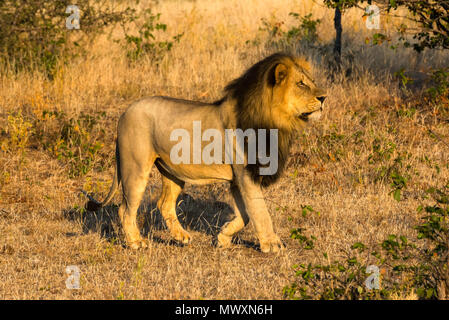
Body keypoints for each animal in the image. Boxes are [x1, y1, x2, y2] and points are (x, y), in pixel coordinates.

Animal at [86, 52, 326, 252]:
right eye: (301, 83)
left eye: (311, 81)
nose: (324, 97)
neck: (275, 122)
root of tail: (125, 112)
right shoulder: (246, 173)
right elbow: (259, 211)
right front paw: (273, 244)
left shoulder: (237, 179)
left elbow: (245, 214)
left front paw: (223, 237)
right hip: (135, 169)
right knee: (125, 208)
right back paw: (136, 242)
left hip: (172, 171)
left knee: (164, 204)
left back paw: (181, 237)